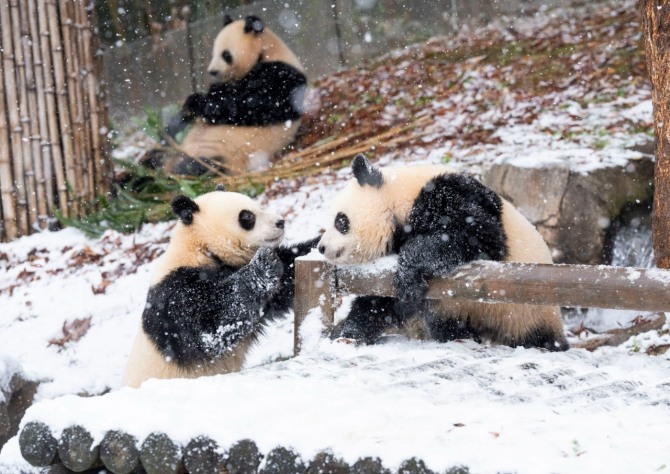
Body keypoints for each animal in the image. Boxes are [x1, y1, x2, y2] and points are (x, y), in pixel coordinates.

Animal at [124, 186, 322, 388]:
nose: (280, 222)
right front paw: (263, 263)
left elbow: (287, 276)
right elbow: (212, 329)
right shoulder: (174, 296)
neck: (201, 248)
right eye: (247, 216)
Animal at [163, 16, 310, 178]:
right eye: (213, 54)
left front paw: (201, 103)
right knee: (168, 140)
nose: (212, 71)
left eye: (226, 54)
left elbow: (255, 105)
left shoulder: (284, 76)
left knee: (204, 165)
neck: (266, 52)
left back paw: (177, 171)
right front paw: (189, 107)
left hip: (226, 154)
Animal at [318, 156, 568, 352]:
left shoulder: (447, 195)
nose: (321, 247)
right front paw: (349, 332)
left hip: (525, 311)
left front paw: (408, 273)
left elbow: (479, 236)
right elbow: (383, 301)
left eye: (340, 221)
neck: (400, 197)